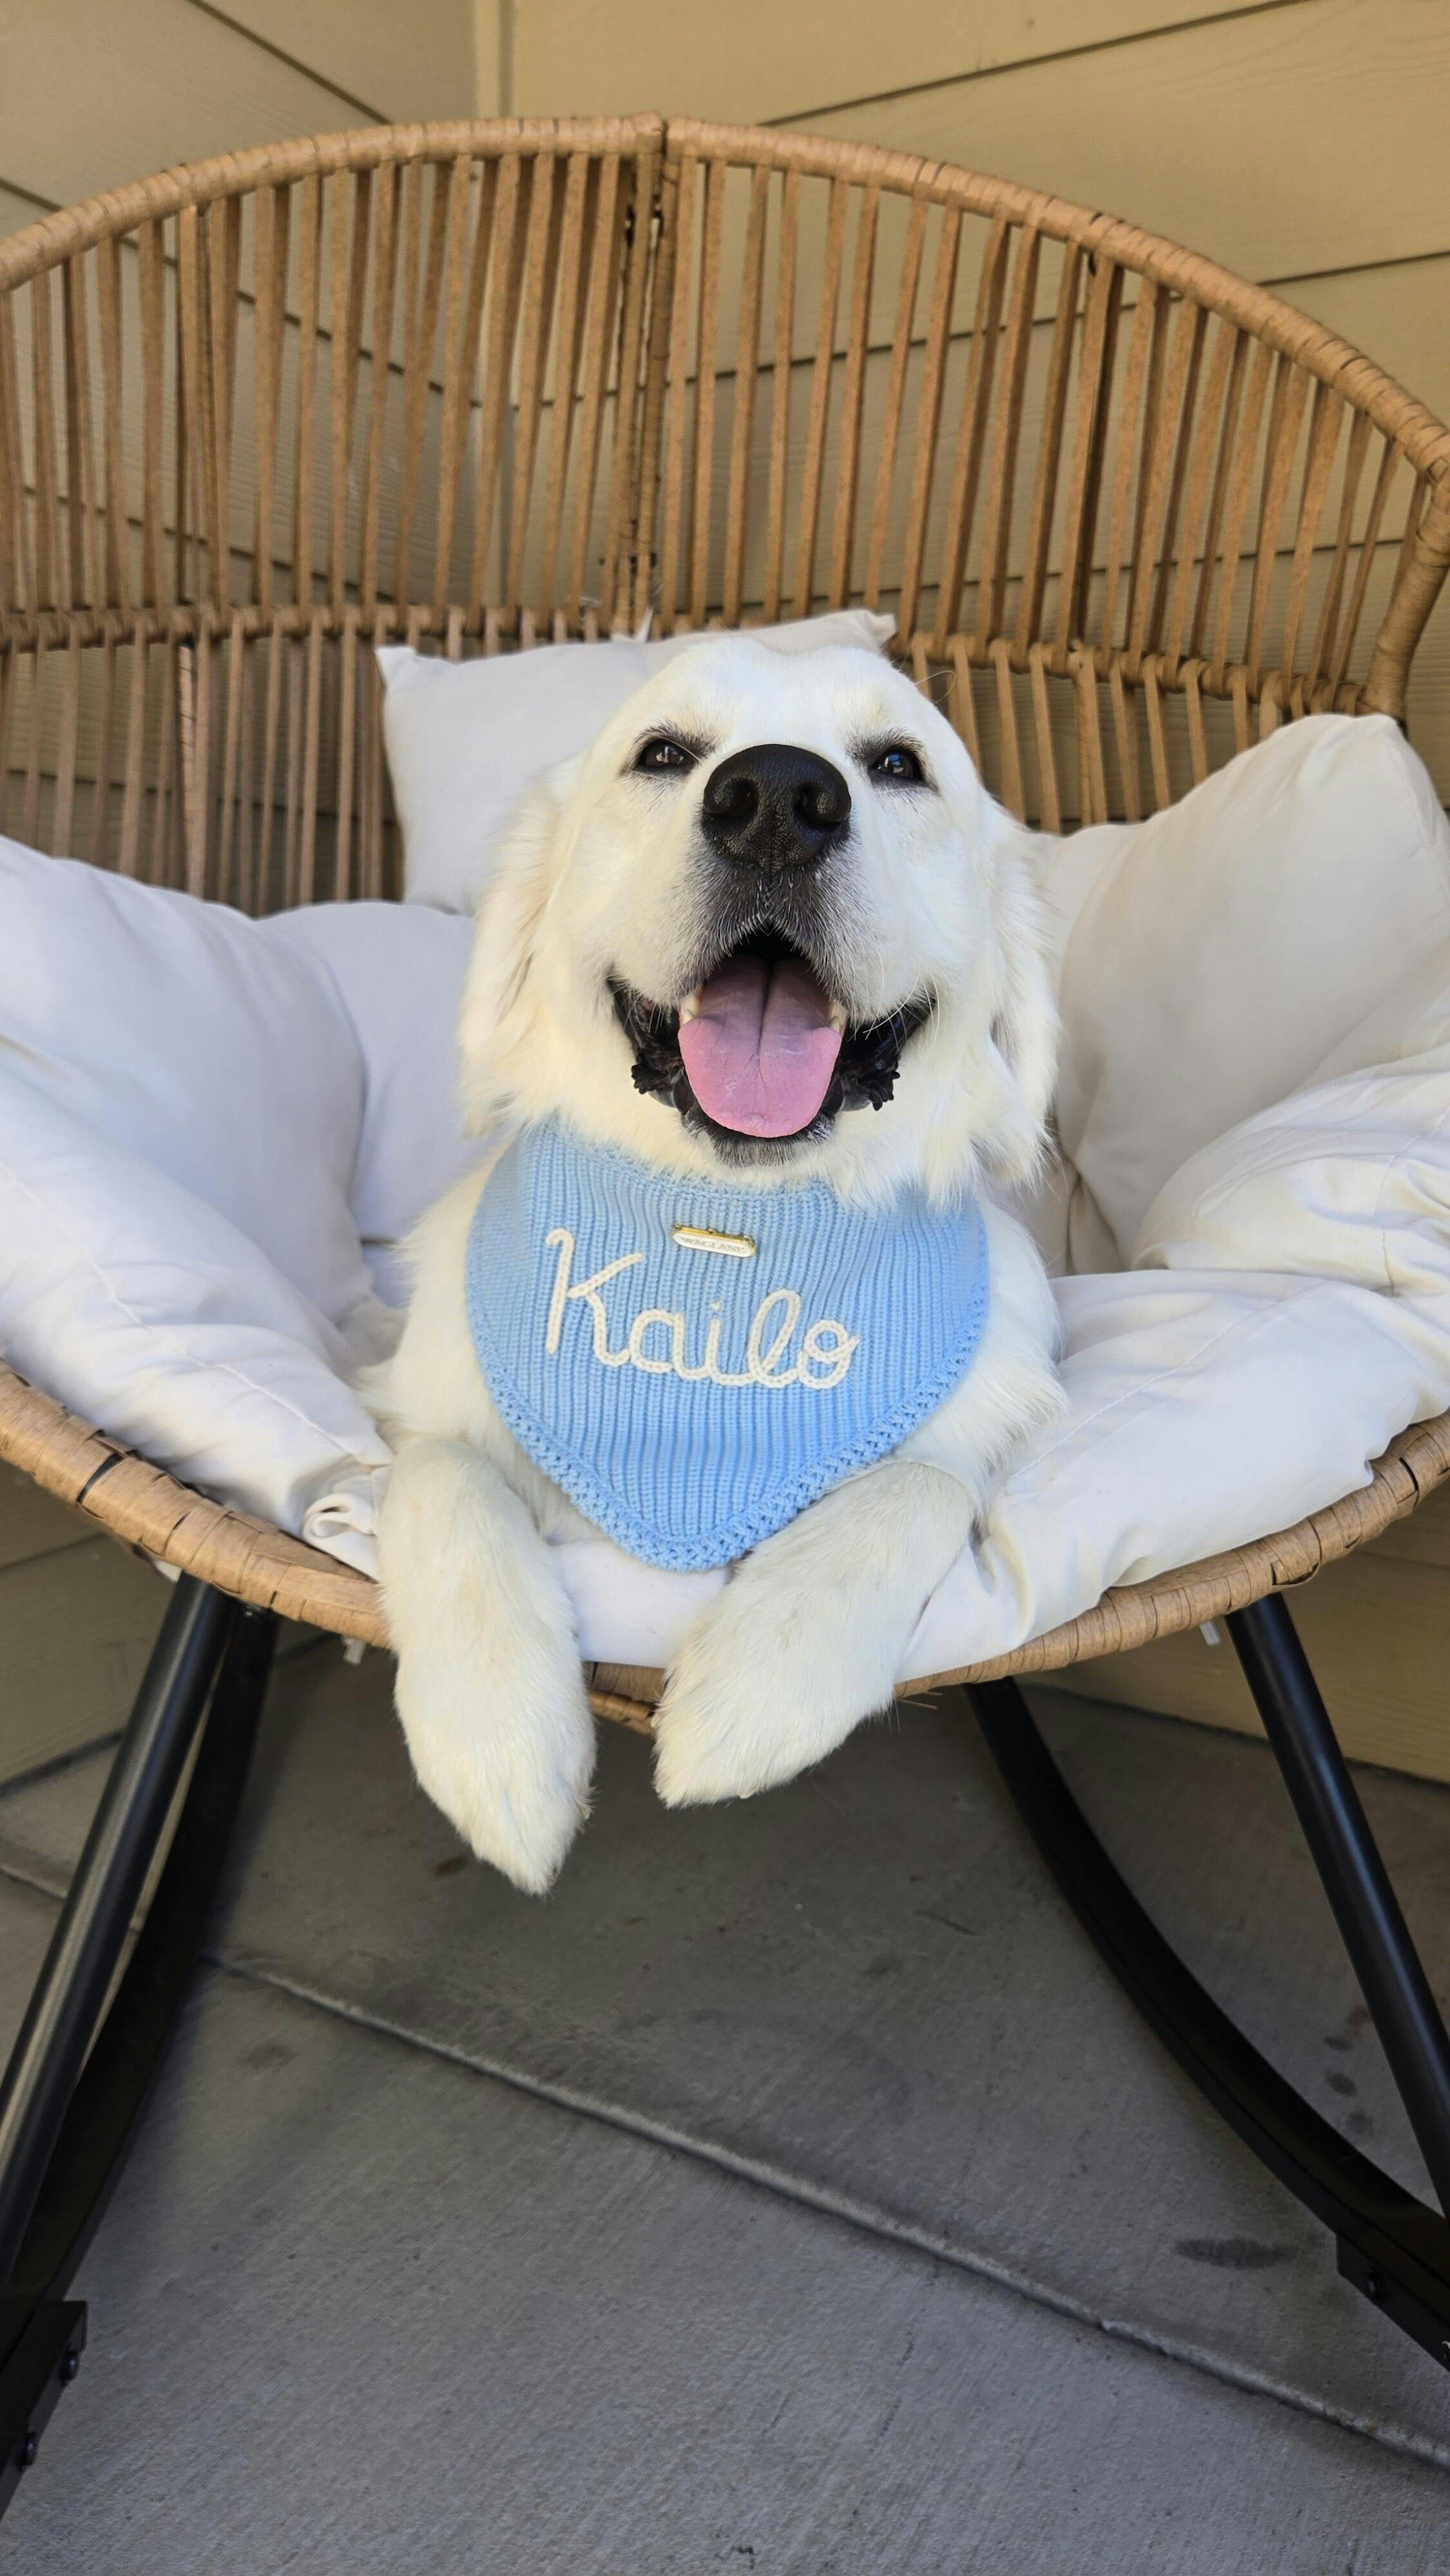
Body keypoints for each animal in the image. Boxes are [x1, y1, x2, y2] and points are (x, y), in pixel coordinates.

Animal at [367, 636, 1065, 1892]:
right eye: (662, 754)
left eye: (899, 763)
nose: (779, 799)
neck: (728, 1244)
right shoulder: (421, 1407)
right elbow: (441, 1480)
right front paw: (499, 1742)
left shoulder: (972, 1426)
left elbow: (918, 1484)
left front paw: (761, 1686)